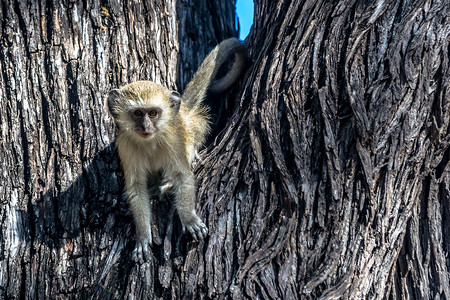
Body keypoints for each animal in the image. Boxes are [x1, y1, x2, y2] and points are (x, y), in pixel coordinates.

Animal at [107, 38, 248, 262]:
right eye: (137, 113)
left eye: (153, 113)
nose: (146, 127)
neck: (150, 141)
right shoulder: (125, 145)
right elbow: (136, 187)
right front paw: (143, 236)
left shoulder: (173, 139)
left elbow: (182, 175)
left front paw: (188, 218)